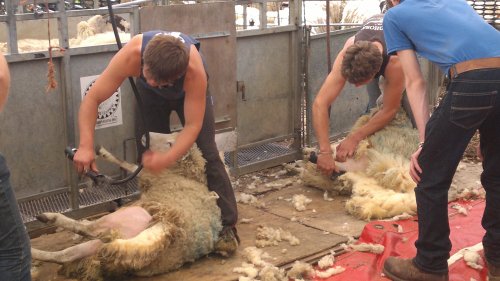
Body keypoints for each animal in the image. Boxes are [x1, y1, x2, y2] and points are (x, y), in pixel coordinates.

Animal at [29, 132, 229, 280]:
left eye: (170, 144)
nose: (146, 134)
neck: (184, 173)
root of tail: (166, 231)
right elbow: (130, 166)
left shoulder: (147, 175)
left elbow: (128, 165)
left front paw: (104, 153)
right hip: (110, 244)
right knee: (65, 254)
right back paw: (33, 251)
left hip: (127, 217)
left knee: (89, 229)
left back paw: (50, 217)